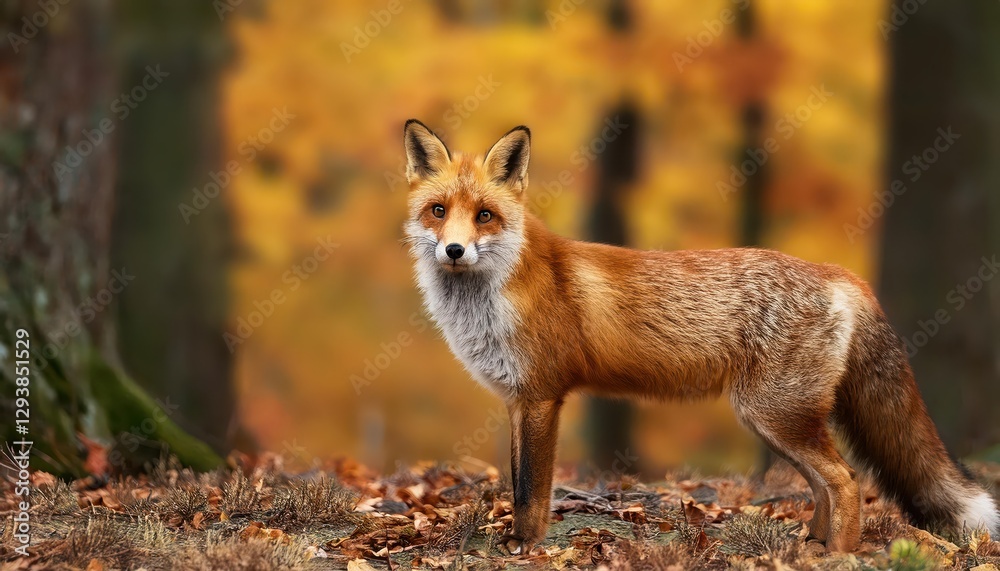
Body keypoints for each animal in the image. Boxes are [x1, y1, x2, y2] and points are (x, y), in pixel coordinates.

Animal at [401, 119, 1000, 554]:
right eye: (438, 211)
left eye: (484, 215)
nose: (454, 250)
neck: (492, 300)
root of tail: (841, 273)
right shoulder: (517, 400)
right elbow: (517, 478)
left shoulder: (544, 397)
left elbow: (531, 490)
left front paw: (525, 546)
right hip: (775, 419)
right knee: (825, 482)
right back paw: (811, 542)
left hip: (773, 414)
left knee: (847, 479)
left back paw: (838, 554)